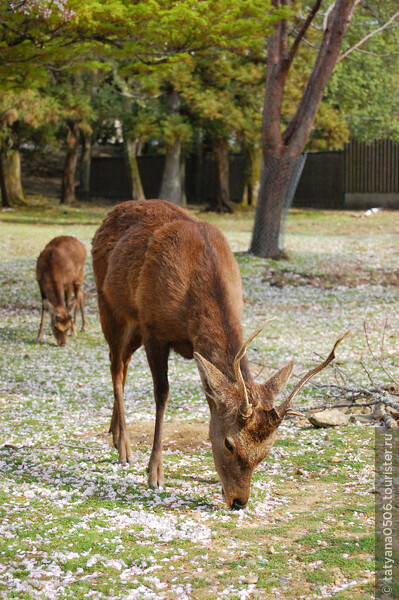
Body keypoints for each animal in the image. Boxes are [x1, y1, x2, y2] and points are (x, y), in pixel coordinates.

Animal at [91, 200, 346, 506]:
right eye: (228, 443)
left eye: (266, 451)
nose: (239, 501)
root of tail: (112, 212)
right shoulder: (153, 328)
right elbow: (162, 393)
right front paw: (155, 473)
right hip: (110, 306)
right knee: (115, 365)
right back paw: (124, 448)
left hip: (133, 327)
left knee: (123, 364)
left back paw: (115, 432)